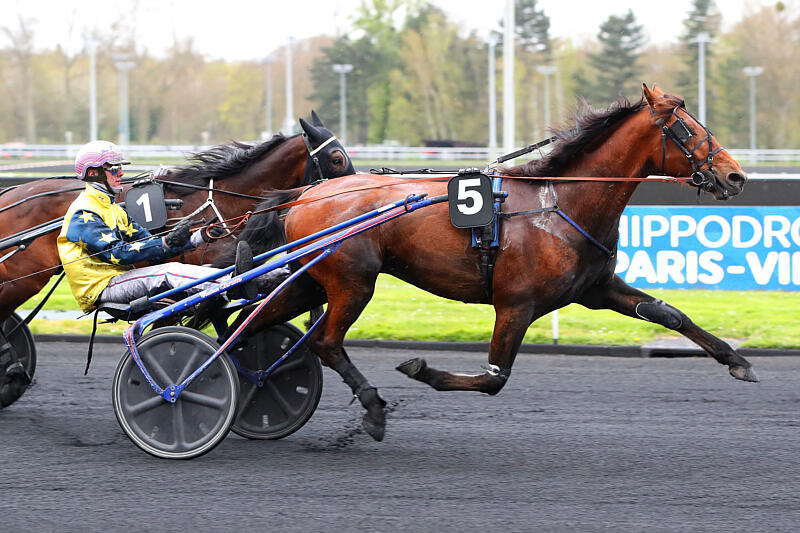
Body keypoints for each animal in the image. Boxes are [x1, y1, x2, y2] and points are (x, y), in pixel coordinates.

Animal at [0, 112, 353, 408]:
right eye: (337, 158)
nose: (351, 190)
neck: (219, 200)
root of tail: (9, 194)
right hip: (23, 277)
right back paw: (12, 369)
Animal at [226, 84, 756, 441]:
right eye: (685, 128)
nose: (735, 175)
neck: (559, 203)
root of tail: (305, 193)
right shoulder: (516, 304)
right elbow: (494, 378)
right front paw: (420, 369)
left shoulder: (596, 289)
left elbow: (670, 314)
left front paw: (738, 362)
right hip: (352, 282)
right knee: (326, 342)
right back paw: (372, 409)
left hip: (312, 281)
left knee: (252, 326)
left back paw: (242, 380)